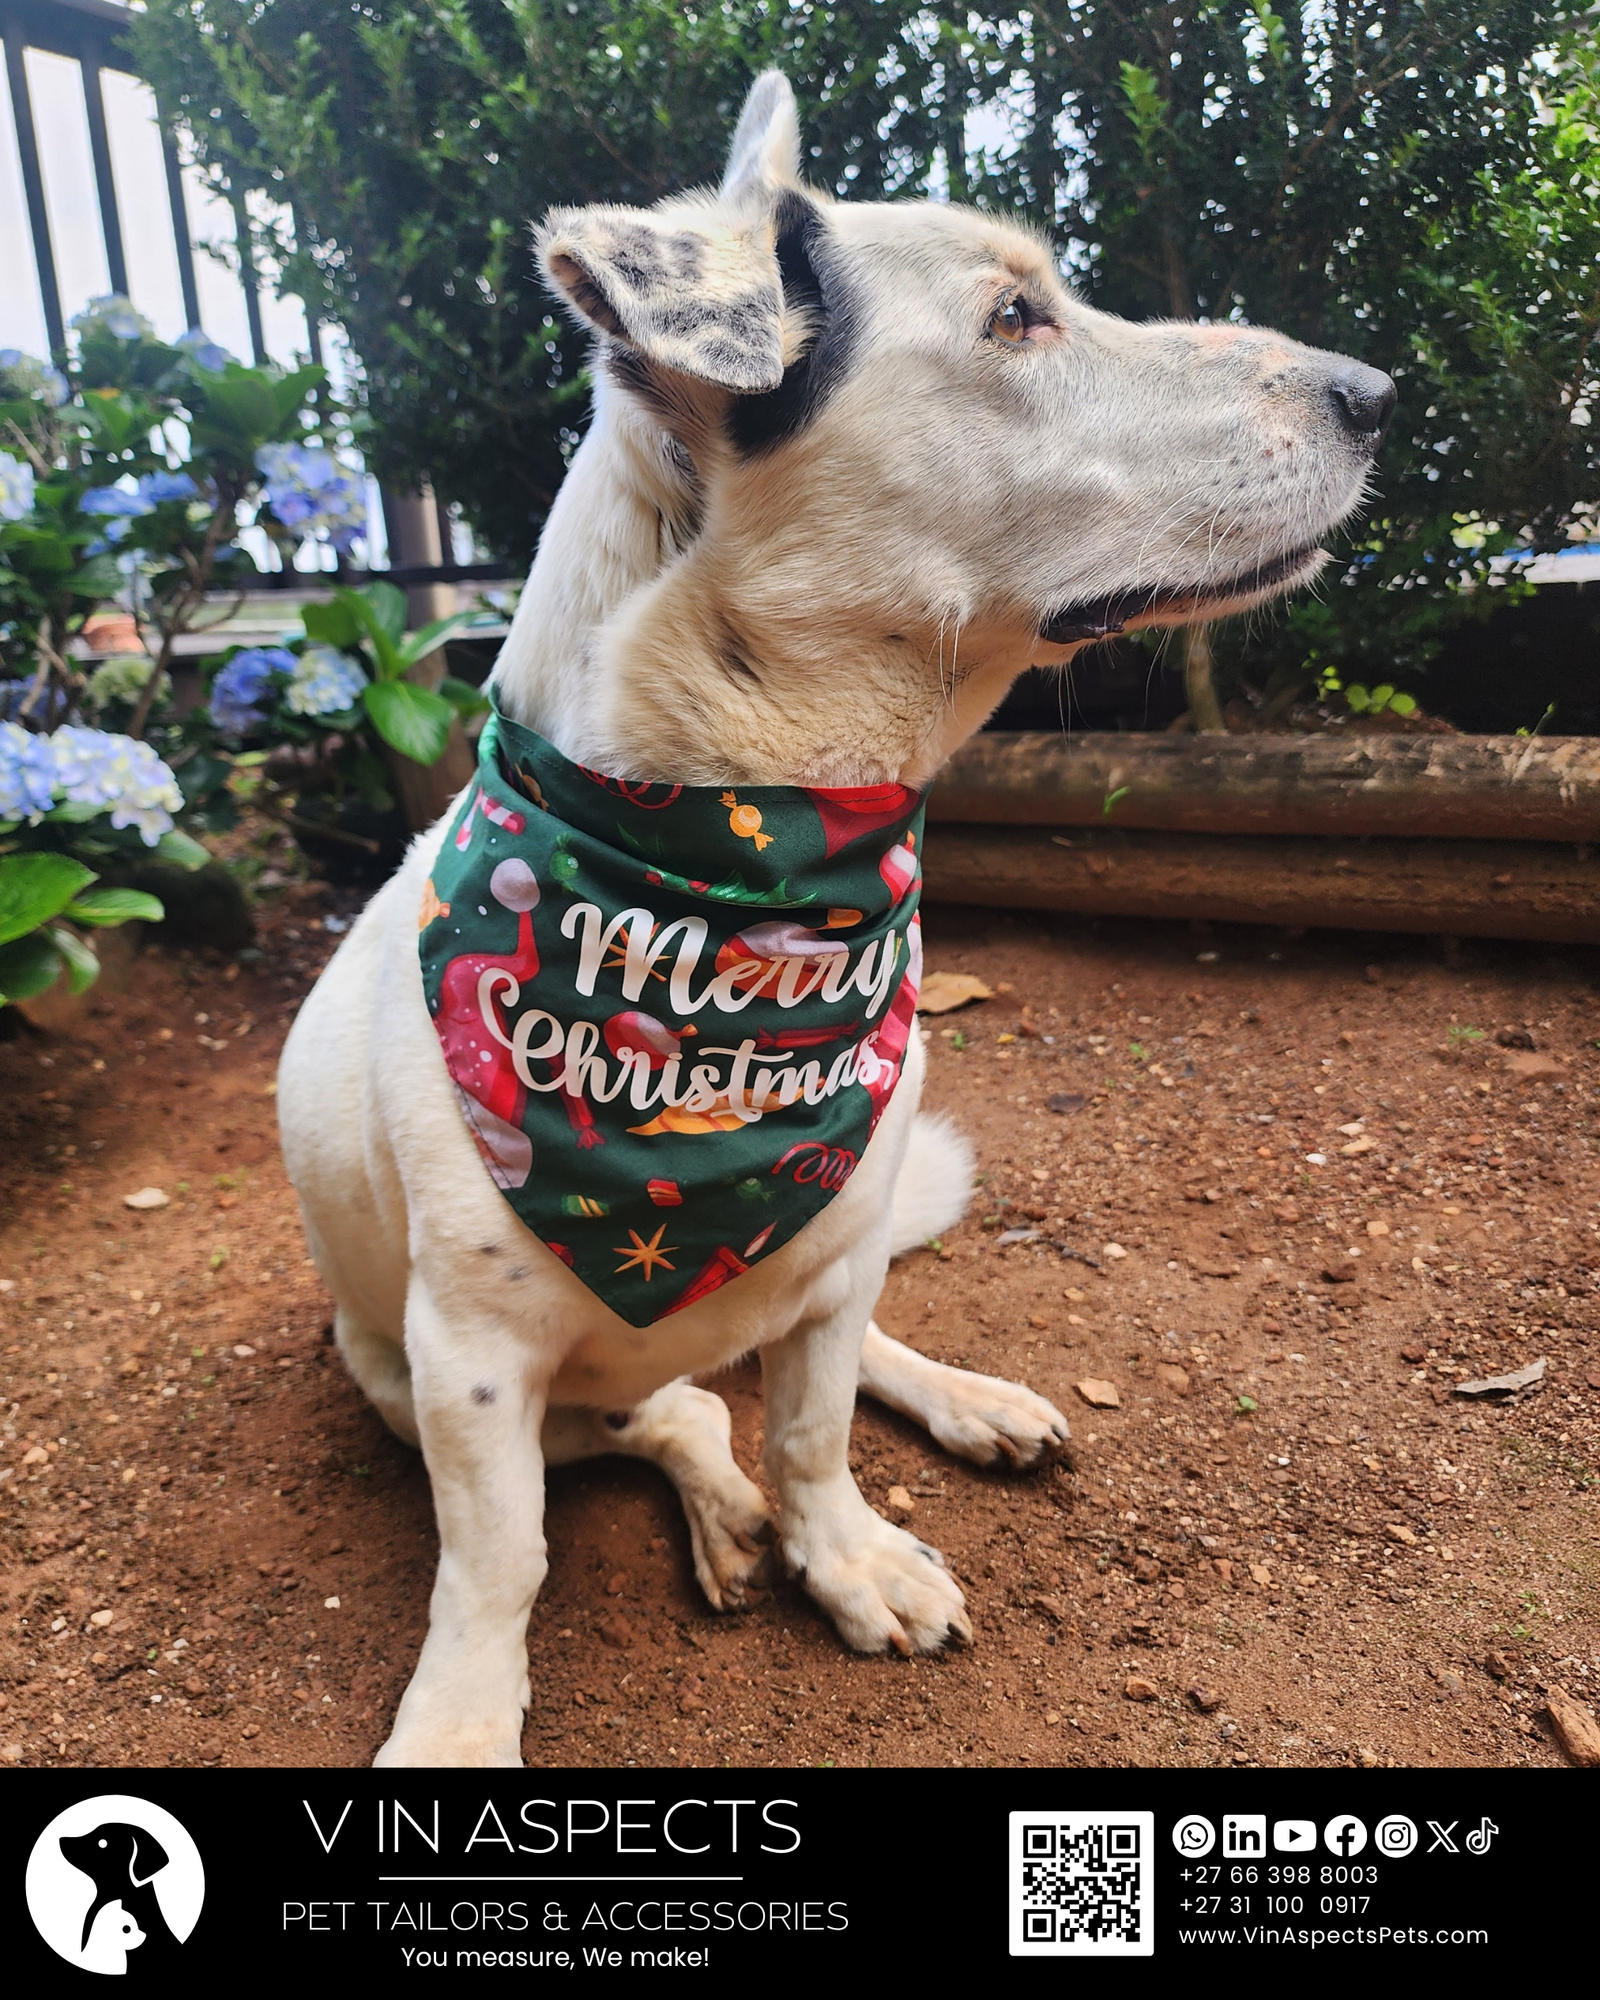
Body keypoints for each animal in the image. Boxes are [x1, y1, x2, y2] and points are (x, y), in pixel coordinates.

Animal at [279, 70, 1392, 1767]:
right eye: (1015, 317)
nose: (1377, 391)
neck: (739, 884)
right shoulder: (464, 1367)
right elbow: (505, 1559)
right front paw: (463, 1716)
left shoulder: (835, 1235)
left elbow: (812, 1427)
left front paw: (845, 1552)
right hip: (392, 1368)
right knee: (671, 1413)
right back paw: (718, 1504)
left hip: (831, 1238)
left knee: (827, 1357)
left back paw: (958, 1406)